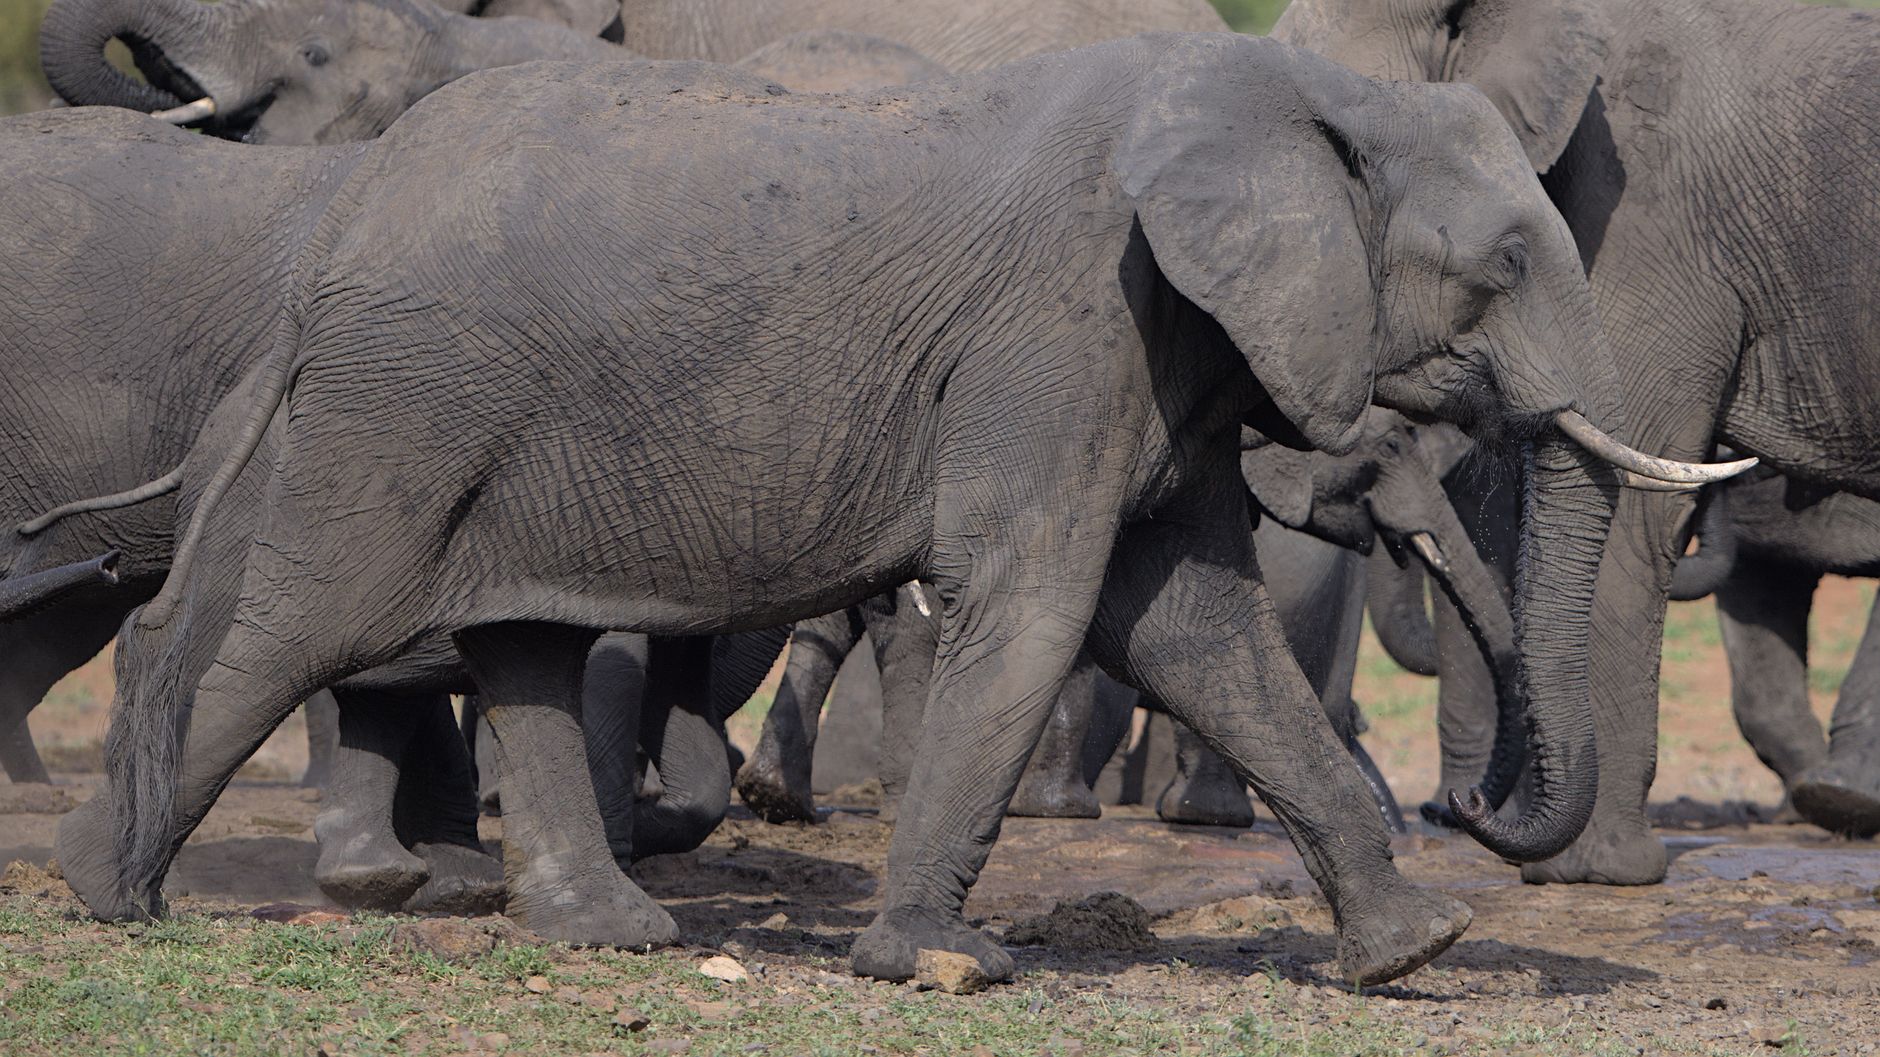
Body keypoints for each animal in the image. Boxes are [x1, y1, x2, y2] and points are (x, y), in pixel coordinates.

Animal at [76, 37, 1747, 988]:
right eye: (1506, 265)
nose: (1469, 807)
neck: (1307, 91)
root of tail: (330, 233)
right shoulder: (1070, 318)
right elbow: (1040, 597)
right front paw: (943, 965)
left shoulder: (1158, 344)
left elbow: (1192, 625)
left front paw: (1414, 954)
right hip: (405, 400)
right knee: (301, 624)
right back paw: (113, 895)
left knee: (524, 641)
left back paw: (615, 938)